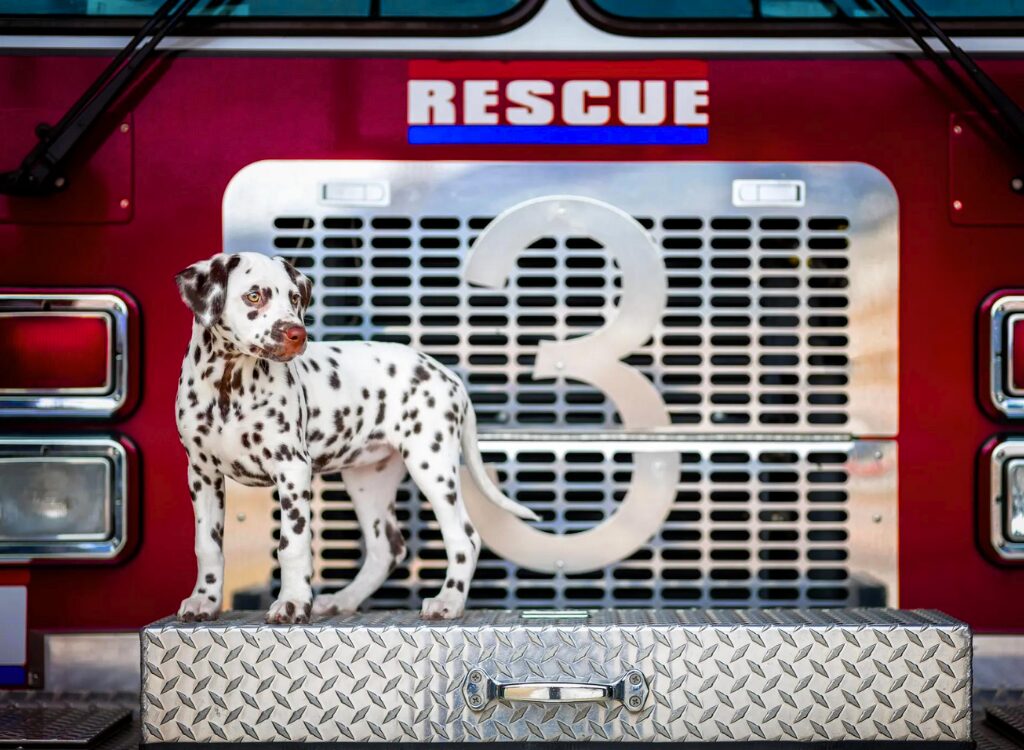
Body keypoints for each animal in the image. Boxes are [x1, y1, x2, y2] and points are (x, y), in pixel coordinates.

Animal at [174, 253, 536, 627]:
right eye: (254, 296)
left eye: (294, 298)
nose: (297, 334)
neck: (228, 385)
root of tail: (448, 375)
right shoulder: (202, 475)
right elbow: (208, 545)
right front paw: (205, 600)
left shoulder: (292, 469)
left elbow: (292, 544)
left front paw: (292, 603)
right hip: (367, 481)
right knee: (386, 550)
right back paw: (341, 600)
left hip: (431, 465)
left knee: (464, 538)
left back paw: (448, 601)